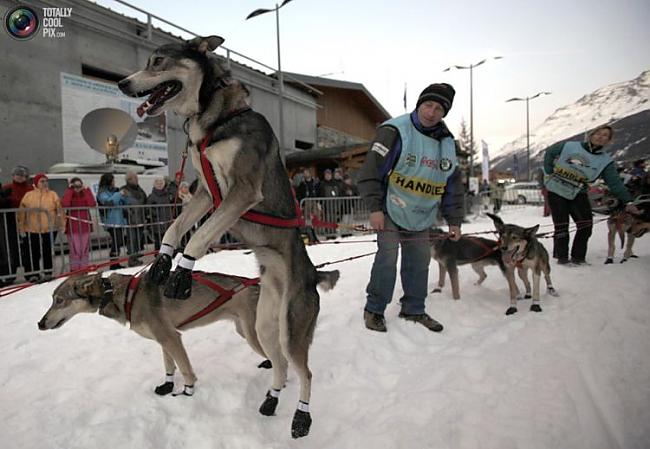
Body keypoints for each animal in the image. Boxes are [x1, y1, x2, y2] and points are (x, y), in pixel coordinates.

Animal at [117, 35, 340, 438]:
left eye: (157, 61)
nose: (122, 84)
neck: (216, 120)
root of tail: (311, 275)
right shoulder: (206, 194)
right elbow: (175, 227)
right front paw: (162, 261)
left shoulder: (241, 192)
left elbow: (198, 237)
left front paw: (183, 272)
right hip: (265, 326)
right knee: (280, 365)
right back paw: (271, 400)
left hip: (292, 328)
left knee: (304, 371)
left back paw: (301, 416)